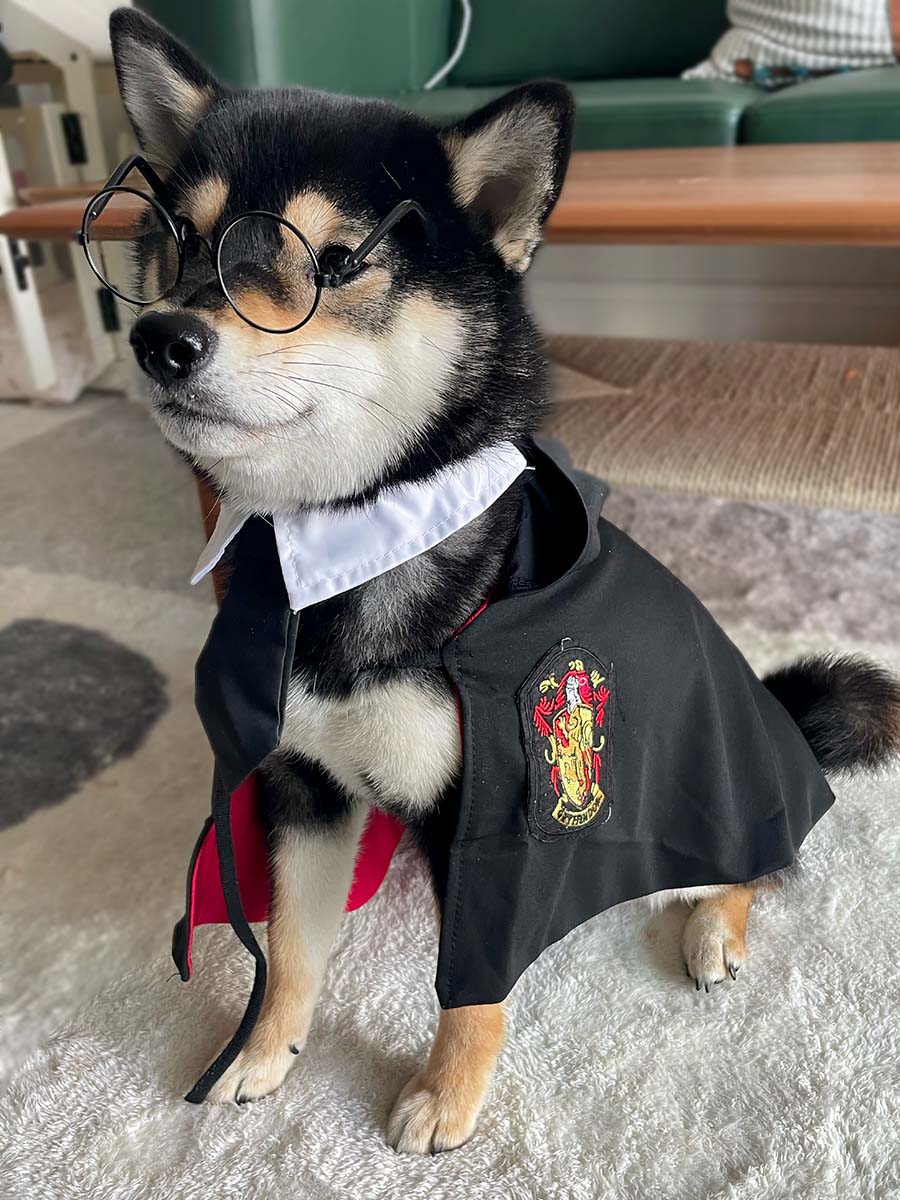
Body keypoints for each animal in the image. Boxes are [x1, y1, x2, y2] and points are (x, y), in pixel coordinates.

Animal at [100, 7, 900, 1152]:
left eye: (336, 260)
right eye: (181, 237)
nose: (162, 338)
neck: (343, 548)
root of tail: (775, 719)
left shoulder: (492, 820)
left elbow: (471, 987)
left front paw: (446, 1098)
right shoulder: (302, 787)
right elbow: (290, 949)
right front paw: (261, 1051)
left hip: (713, 797)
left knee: (757, 862)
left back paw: (713, 929)